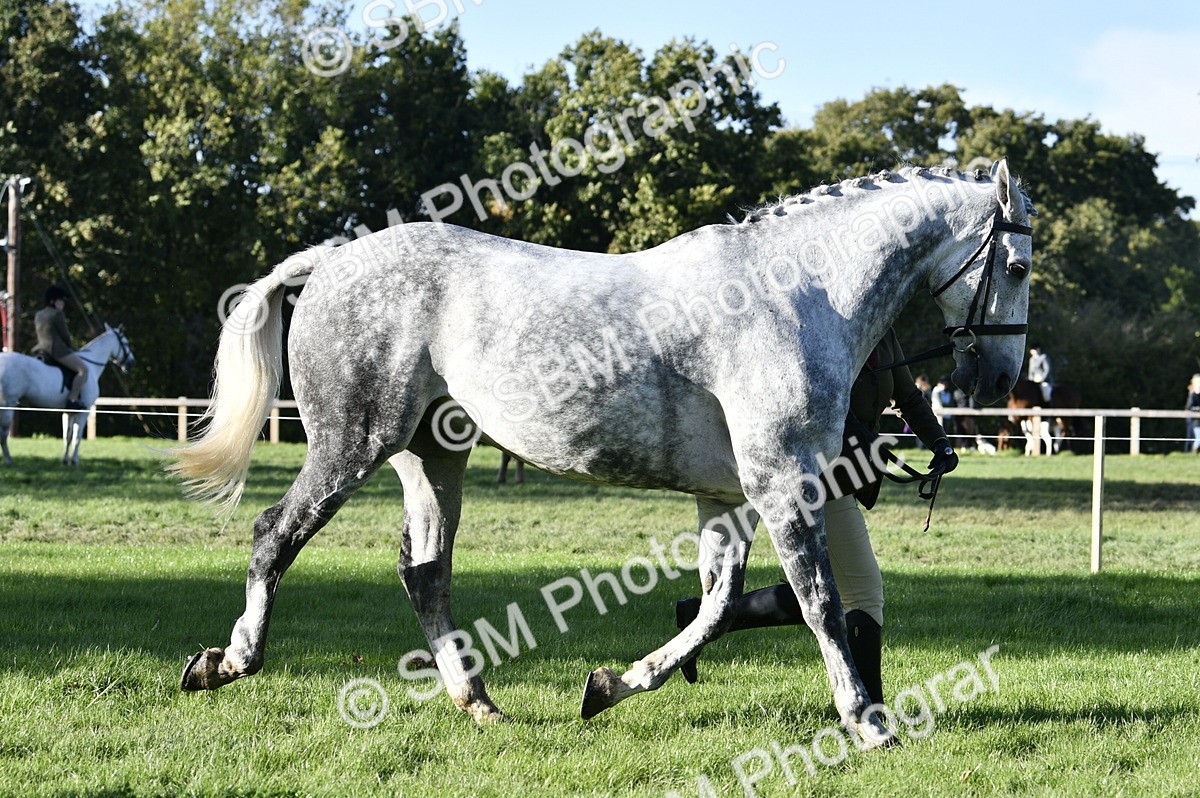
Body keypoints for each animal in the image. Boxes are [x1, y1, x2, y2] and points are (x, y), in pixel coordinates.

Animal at [0, 324, 136, 466]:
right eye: (126, 343)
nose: (132, 362)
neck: (91, 365)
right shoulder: (85, 410)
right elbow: (77, 436)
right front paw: (74, 461)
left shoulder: (68, 411)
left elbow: (67, 435)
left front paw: (65, 460)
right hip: (8, 404)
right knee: (3, 433)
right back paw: (8, 460)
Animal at [171, 160, 1033, 746]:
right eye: (1018, 265)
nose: (1000, 377)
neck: (796, 294)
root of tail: (330, 261)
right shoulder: (785, 485)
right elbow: (819, 601)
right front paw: (866, 721)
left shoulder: (730, 498)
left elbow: (718, 608)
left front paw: (612, 685)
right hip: (353, 444)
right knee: (275, 536)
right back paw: (226, 662)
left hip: (433, 457)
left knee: (425, 573)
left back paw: (479, 702)